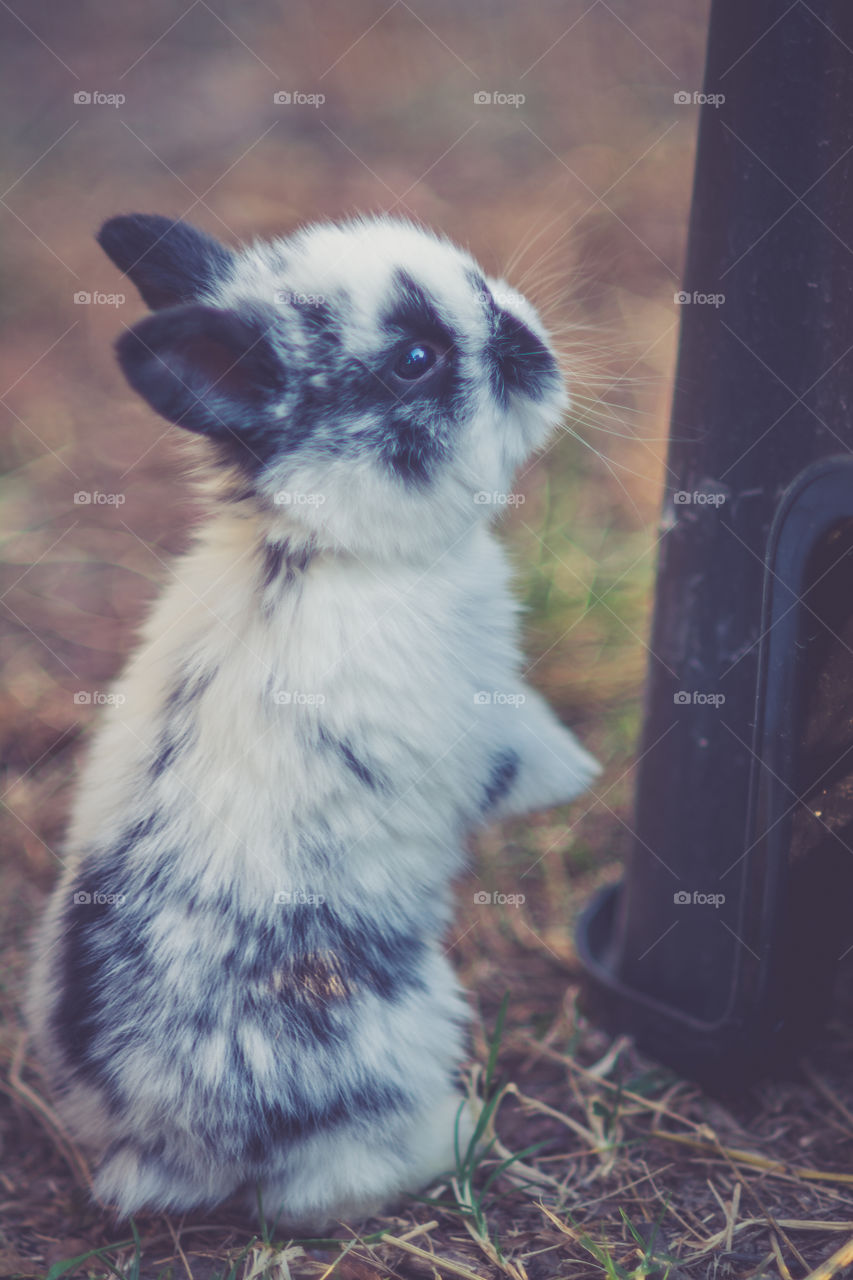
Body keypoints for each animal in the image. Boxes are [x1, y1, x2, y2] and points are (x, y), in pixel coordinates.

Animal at [26, 211, 600, 1230]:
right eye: (414, 359)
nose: (524, 338)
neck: (325, 549)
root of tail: (158, 1148)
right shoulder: (487, 720)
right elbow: (521, 755)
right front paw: (580, 775)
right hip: (391, 1042)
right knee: (319, 1183)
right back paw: (460, 1138)